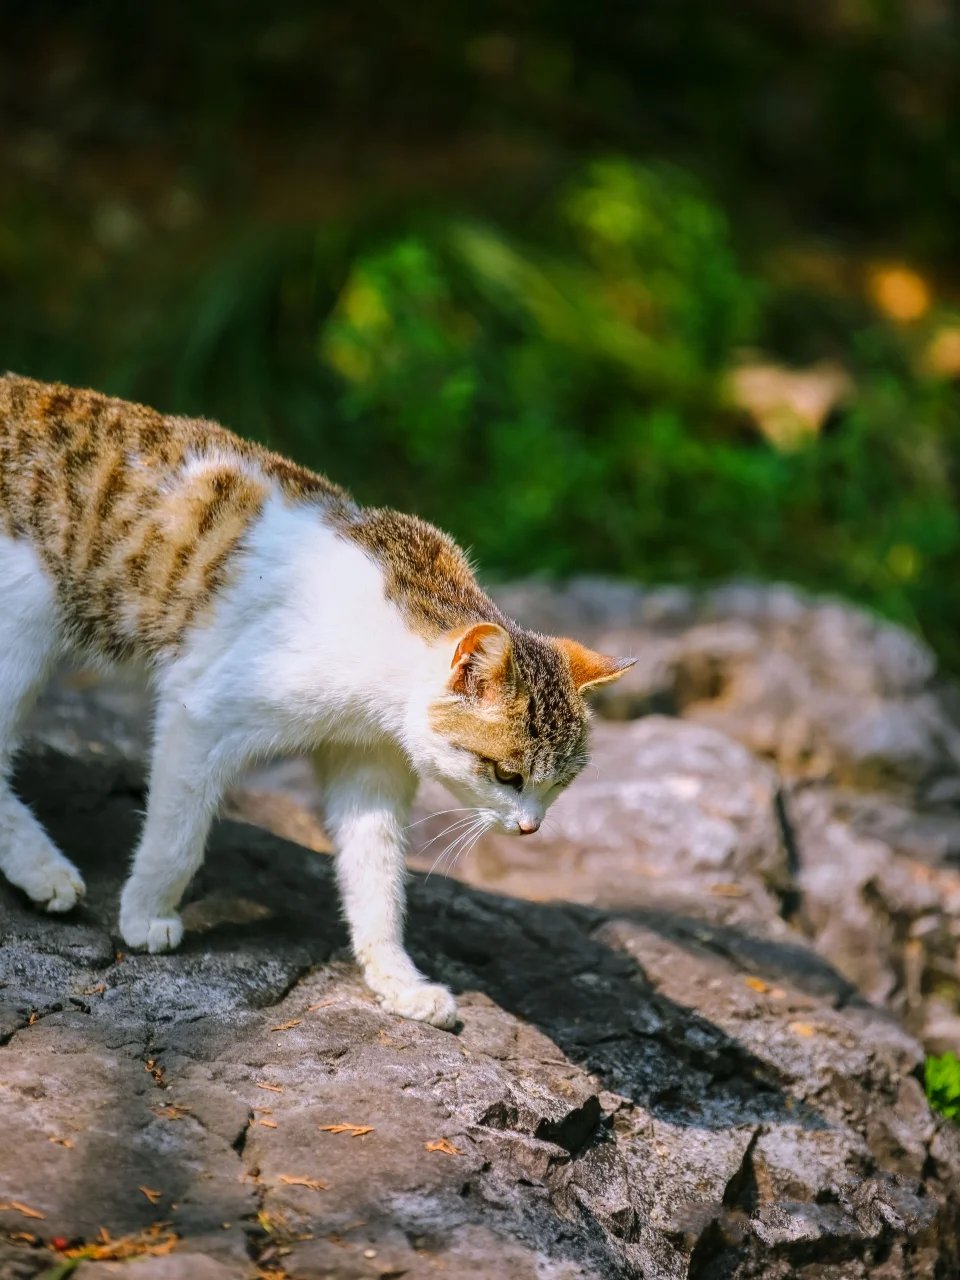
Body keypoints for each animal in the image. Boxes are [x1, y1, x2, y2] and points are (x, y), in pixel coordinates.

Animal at [0, 373, 634, 1029]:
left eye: (560, 784)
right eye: (507, 775)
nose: (531, 827)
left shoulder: (371, 765)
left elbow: (378, 883)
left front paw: (397, 980)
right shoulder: (203, 713)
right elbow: (177, 836)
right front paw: (147, 912)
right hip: (27, 618)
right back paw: (43, 868)